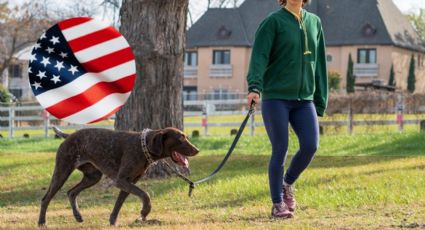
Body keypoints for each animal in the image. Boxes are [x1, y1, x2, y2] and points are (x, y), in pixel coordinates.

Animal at [38, 127, 199, 226]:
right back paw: (41, 222)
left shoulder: (128, 183)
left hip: (93, 176)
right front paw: (144, 212)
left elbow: (118, 204)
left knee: (71, 192)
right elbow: (145, 195)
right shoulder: (122, 181)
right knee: (46, 198)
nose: (197, 150)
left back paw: (78, 215)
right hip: (62, 172)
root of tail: (69, 135)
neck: (144, 147)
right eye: (181, 138)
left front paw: (113, 222)